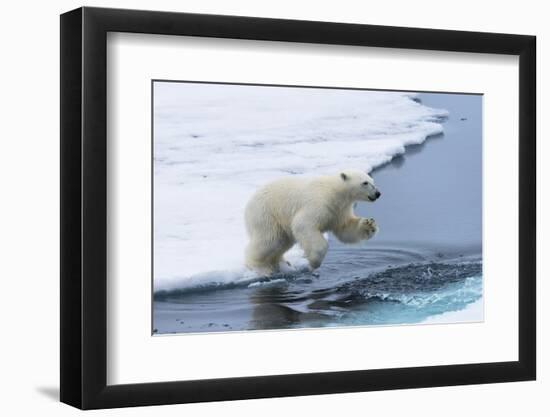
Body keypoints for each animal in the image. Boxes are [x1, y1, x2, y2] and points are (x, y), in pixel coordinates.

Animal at [247, 169, 384, 272]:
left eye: (372, 181)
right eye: (365, 183)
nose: (378, 193)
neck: (334, 192)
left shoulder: (340, 210)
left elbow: (345, 229)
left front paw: (369, 224)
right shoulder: (318, 203)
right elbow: (303, 224)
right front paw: (314, 262)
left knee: (282, 242)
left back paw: (282, 263)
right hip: (266, 214)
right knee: (269, 240)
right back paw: (259, 267)